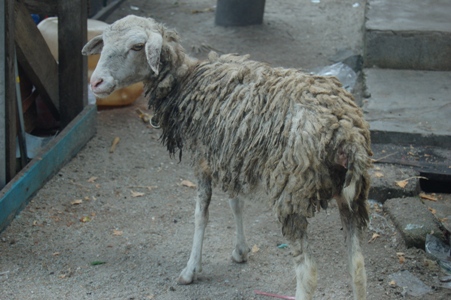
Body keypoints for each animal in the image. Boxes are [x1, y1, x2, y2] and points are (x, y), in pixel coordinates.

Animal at [83, 16, 372, 300]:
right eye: (104, 42)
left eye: (136, 47)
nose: (95, 82)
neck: (187, 82)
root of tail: (345, 132)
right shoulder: (229, 155)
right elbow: (236, 204)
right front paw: (240, 251)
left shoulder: (202, 159)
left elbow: (200, 215)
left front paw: (191, 270)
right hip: (351, 196)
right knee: (357, 265)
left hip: (292, 192)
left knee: (308, 272)